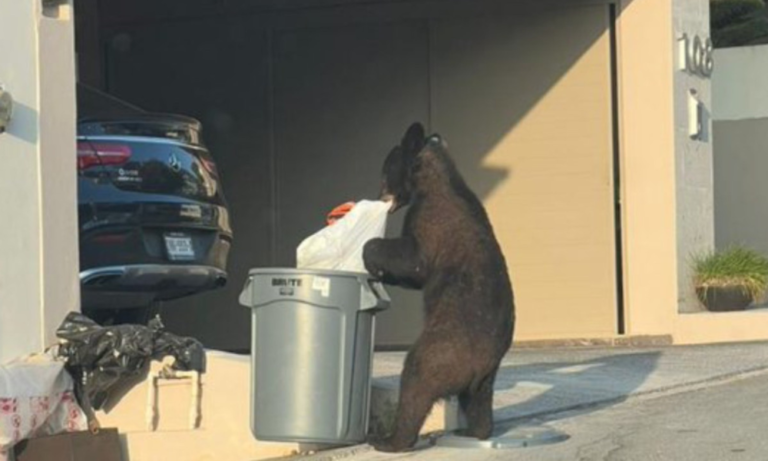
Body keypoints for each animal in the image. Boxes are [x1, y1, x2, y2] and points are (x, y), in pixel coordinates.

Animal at [362, 121, 516, 450]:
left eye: (385, 171)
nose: (380, 195)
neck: (432, 178)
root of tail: (478, 369)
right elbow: (414, 275)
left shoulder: (431, 220)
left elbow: (414, 260)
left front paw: (371, 254)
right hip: (485, 380)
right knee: (478, 404)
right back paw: (474, 431)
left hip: (443, 349)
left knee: (416, 379)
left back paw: (391, 439)